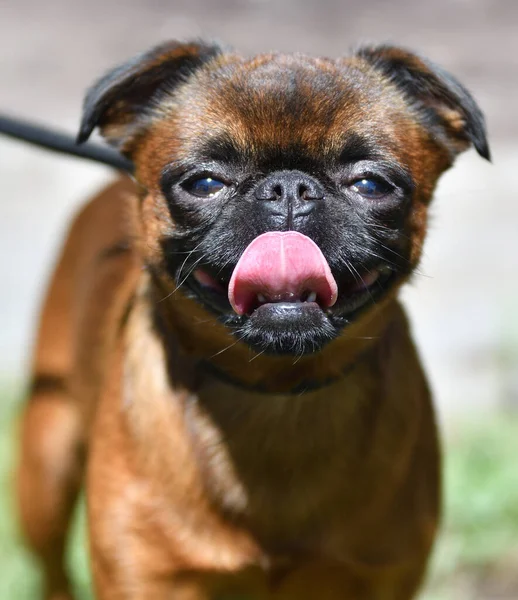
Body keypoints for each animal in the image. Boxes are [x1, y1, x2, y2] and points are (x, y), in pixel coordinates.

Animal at [17, 42, 492, 600]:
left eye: (371, 184)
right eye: (204, 183)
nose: (288, 188)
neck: (275, 394)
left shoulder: (384, 575)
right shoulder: (146, 577)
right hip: (46, 462)